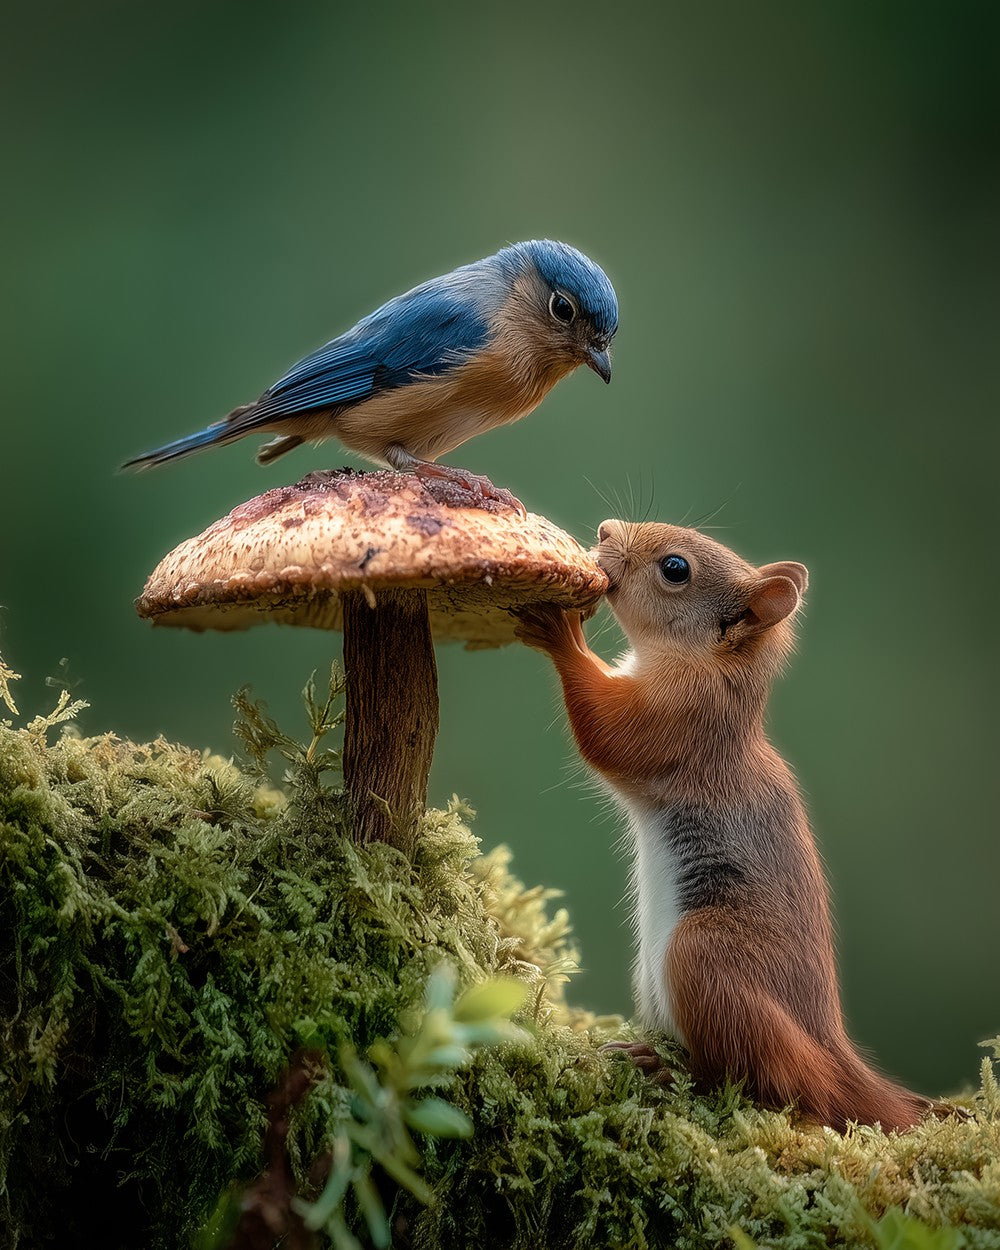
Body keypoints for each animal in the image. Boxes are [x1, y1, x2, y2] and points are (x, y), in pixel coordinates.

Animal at [516, 519, 933, 1132]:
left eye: (675, 569)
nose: (605, 531)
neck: (711, 668)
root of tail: (834, 1061)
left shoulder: (684, 718)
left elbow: (610, 733)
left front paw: (559, 629)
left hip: (705, 957)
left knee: (750, 1078)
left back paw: (664, 1069)